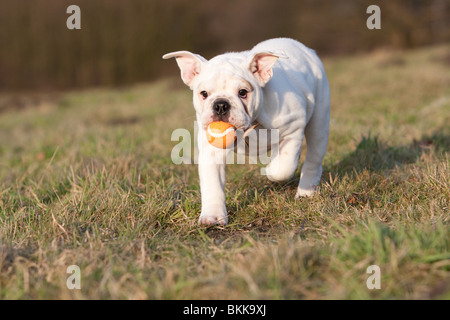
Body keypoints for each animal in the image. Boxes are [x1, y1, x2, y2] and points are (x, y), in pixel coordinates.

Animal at [165, 38, 330, 226]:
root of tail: (304, 48)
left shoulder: (294, 126)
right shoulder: (212, 150)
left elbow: (283, 167)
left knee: (314, 157)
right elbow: (212, 183)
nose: (220, 104)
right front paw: (212, 215)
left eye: (242, 92)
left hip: (320, 118)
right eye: (204, 94)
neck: (251, 124)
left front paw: (272, 168)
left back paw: (306, 191)